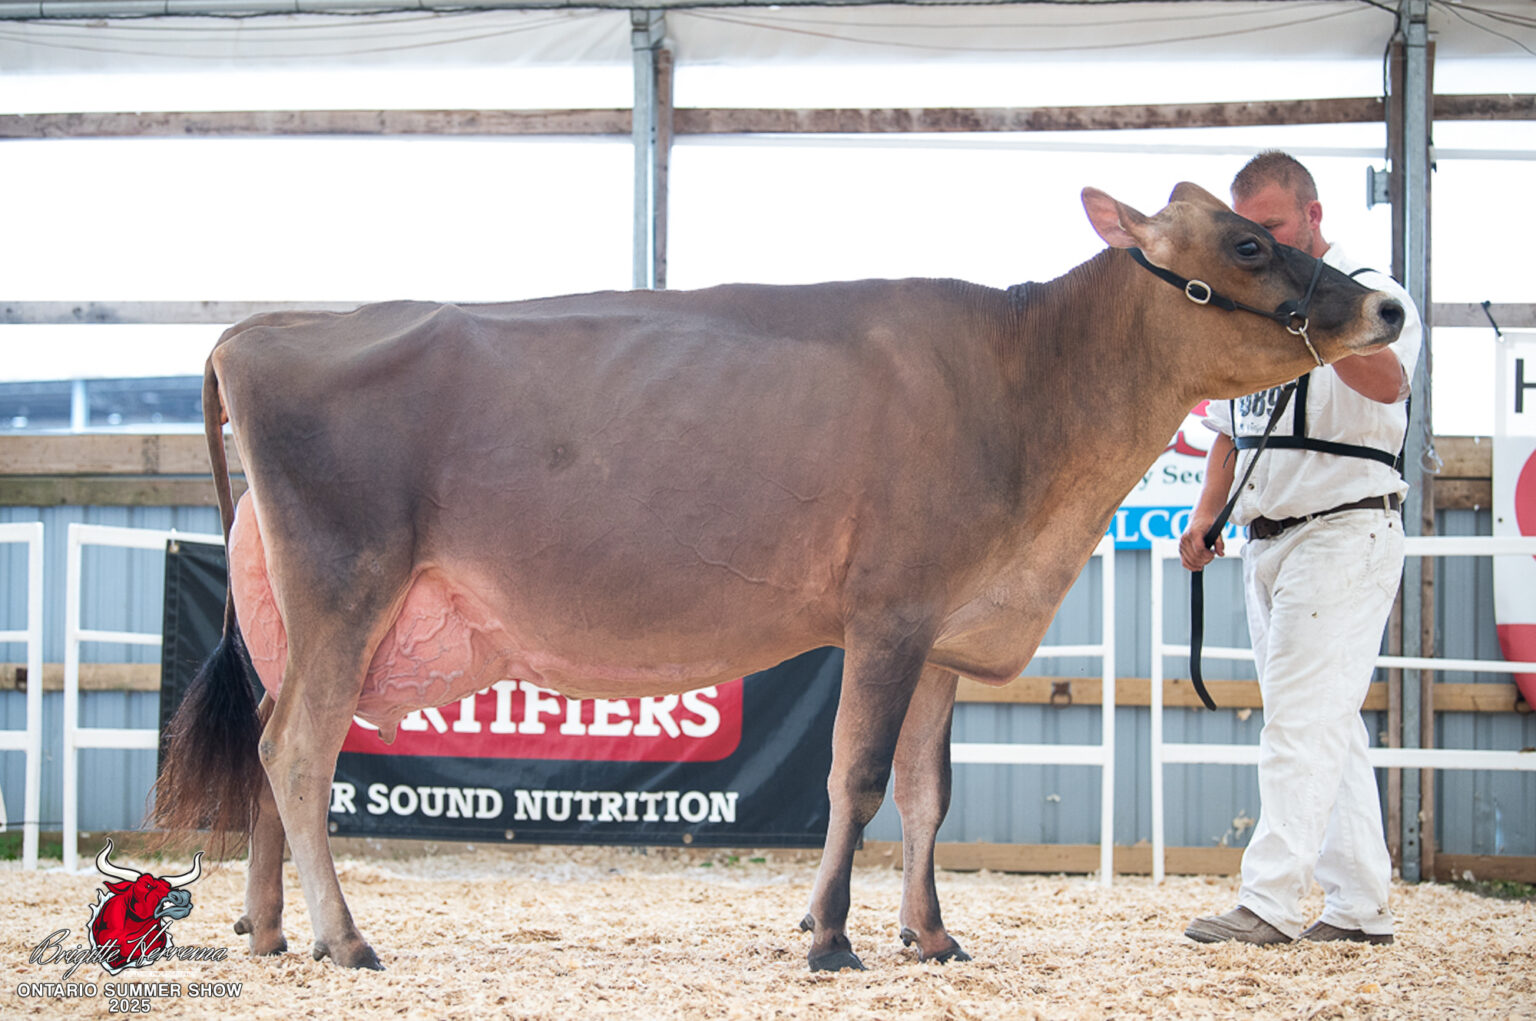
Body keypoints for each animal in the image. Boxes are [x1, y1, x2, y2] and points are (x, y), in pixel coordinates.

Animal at [153, 183, 1405, 974]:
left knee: (269, 742)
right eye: (1247, 246)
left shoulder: (945, 628)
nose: (1389, 304)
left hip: (303, 608)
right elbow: (855, 778)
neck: (1031, 387)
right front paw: (832, 936)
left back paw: (270, 931)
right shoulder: (890, 613)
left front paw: (932, 937)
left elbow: (929, 792)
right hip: (345, 582)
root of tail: (257, 333)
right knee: (298, 750)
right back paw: (346, 937)